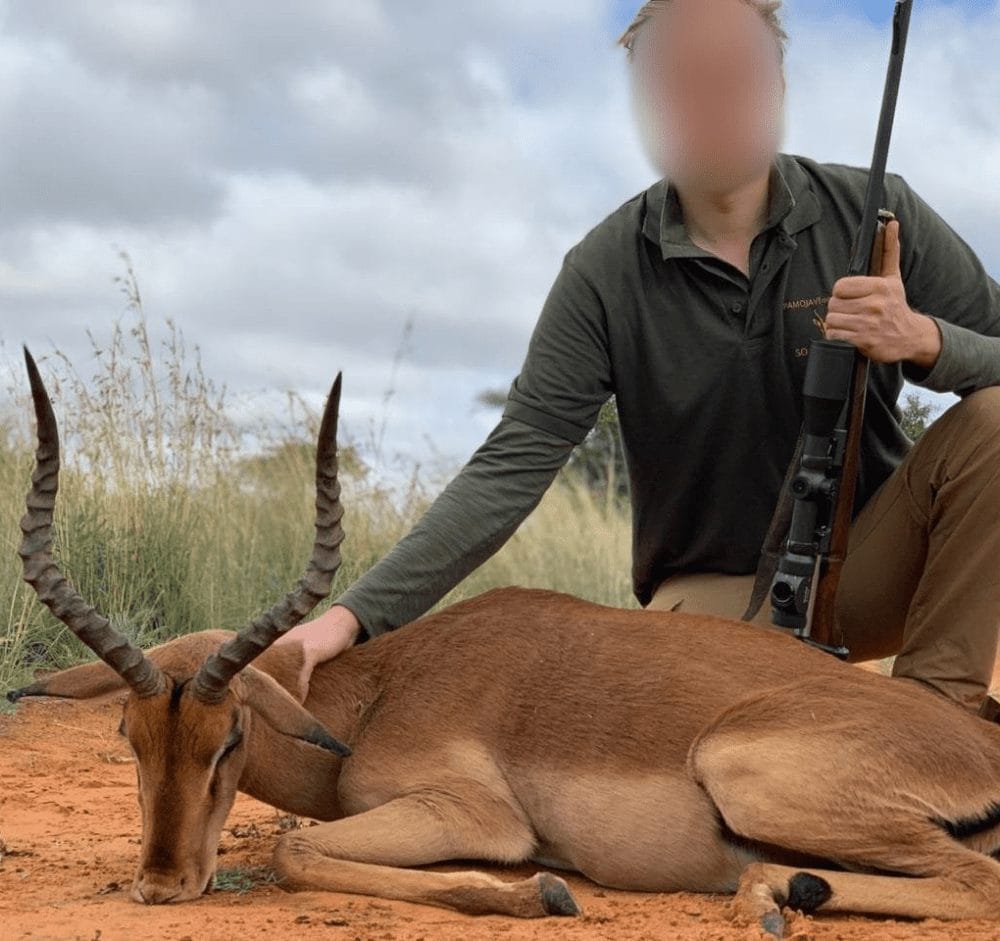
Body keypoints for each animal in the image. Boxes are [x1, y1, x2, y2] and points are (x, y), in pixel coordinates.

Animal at [9, 348, 1000, 939]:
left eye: (230, 739)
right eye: (129, 739)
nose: (162, 886)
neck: (378, 694)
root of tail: (976, 740)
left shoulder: (471, 814)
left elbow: (293, 853)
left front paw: (543, 892)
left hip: (746, 771)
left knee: (978, 882)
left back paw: (770, 897)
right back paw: (786, 891)